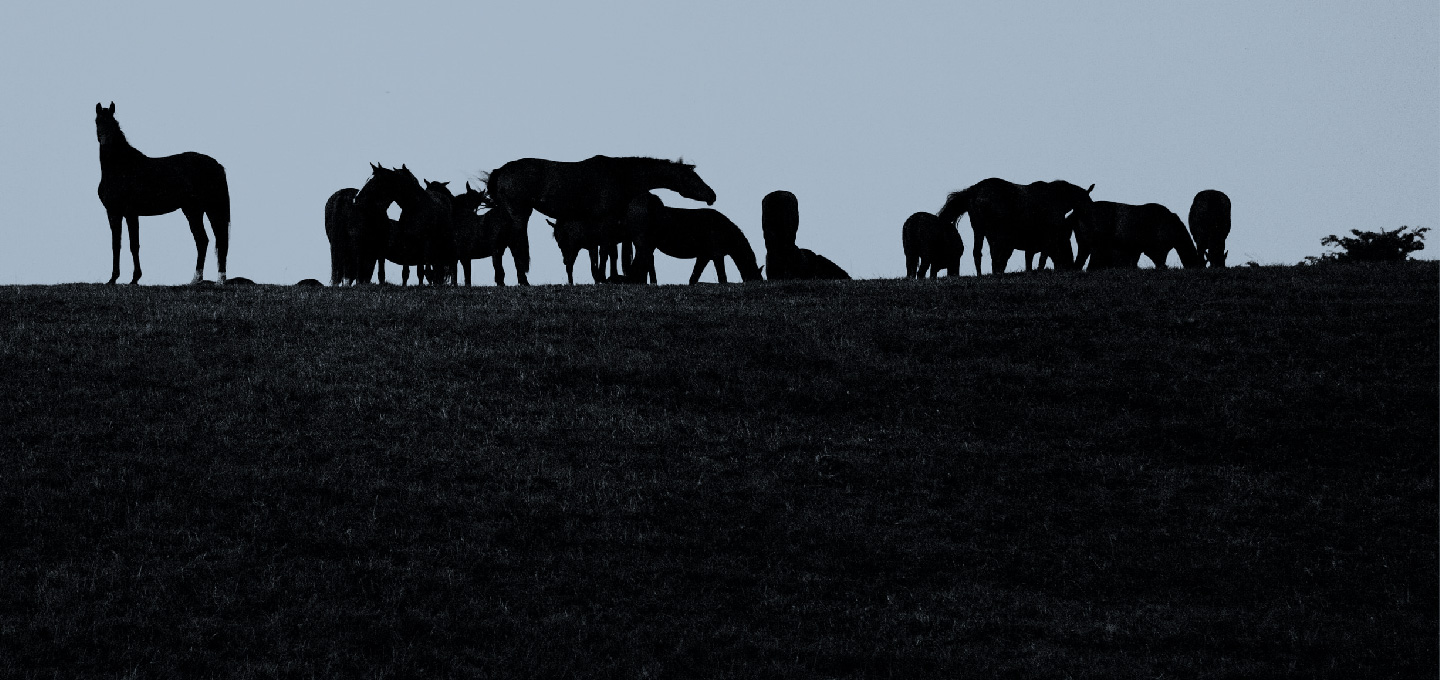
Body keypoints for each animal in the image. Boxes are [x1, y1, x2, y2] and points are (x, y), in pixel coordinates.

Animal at [94, 101, 230, 283]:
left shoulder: (129, 213)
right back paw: (196, 280)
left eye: (113, 123)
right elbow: (116, 245)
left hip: (211, 209)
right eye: (97, 121)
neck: (121, 168)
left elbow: (133, 244)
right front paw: (114, 279)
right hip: (193, 210)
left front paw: (134, 279)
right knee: (202, 240)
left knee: (219, 240)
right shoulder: (113, 212)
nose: (105, 143)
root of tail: (217, 165)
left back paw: (219, 281)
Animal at [486, 155, 717, 285]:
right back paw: (523, 281)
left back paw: (502, 281)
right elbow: (605, 252)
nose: (712, 195)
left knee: (501, 246)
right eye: (693, 177)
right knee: (515, 245)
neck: (621, 174)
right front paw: (604, 277)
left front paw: (609, 277)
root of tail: (500, 171)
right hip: (519, 214)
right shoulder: (606, 219)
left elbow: (609, 252)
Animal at [627, 194, 766, 283]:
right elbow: (722, 277)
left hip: (649, 247)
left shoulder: (704, 256)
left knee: (648, 263)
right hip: (644, 246)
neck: (723, 229)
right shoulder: (717, 255)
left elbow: (694, 277)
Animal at [938, 180, 1094, 279]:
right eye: (1087, 201)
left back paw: (981, 275)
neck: (1058, 198)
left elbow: (1031, 261)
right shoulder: (1048, 236)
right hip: (994, 233)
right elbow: (1041, 259)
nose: (1091, 215)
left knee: (978, 253)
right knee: (995, 255)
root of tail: (974, 191)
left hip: (979, 229)